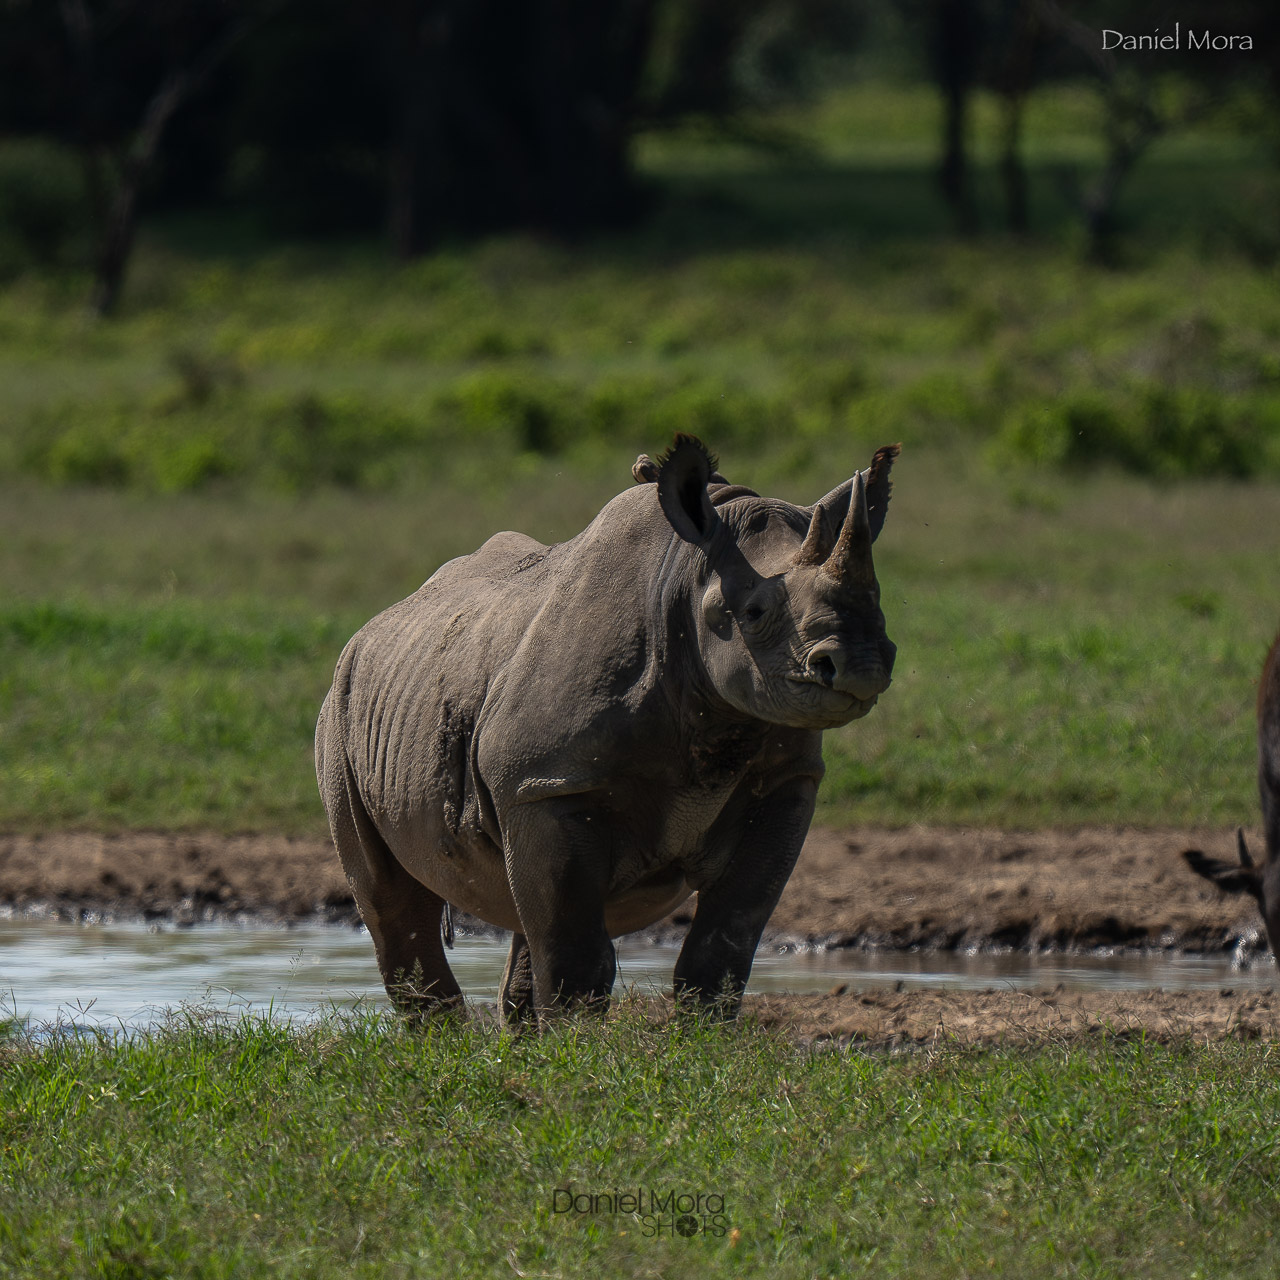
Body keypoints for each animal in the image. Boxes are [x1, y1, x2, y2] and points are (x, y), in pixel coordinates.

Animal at [315, 435, 899, 1022]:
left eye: (879, 603)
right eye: (754, 613)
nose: (861, 664)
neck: (686, 577)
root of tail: (377, 623)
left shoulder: (785, 778)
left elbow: (727, 938)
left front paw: (702, 1034)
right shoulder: (548, 782)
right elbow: (575, 952)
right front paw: (578, 1042)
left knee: (522, 912)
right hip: (342, 711)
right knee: (392, 901)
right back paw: (445, 1038)